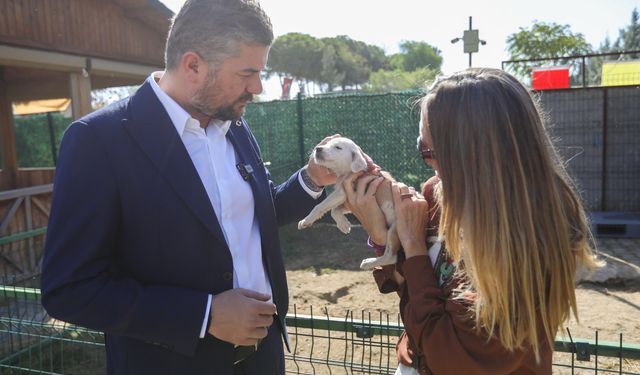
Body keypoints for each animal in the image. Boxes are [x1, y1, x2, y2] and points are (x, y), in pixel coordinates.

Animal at [296, 138, 416, 270]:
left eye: (338, 147)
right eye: (327, 143)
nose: (317, 148)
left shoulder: (341, 194)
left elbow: (319, 206)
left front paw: (305, 221)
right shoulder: (347, 201)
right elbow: (334, 210)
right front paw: (343, 225)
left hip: (394, 230)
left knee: (392, 257)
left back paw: (369, 262)